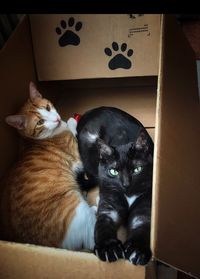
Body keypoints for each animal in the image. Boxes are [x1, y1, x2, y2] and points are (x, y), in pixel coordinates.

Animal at [0, 82, 96, 252]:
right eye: (40, 122)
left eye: (48, 107)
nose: (57, 119)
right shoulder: (77, 150)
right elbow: (73, 126)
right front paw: (73, 121)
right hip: (75, 206)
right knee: (91, 237)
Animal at [76, 106, 153, 266]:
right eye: (113, 171)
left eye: (137, 169)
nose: (126, 184)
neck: (129, 195)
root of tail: (89, 112)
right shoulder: (109, 207)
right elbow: (103, 225)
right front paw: (108, 249)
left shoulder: (145, 204)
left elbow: (142, 225)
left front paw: (138, 250)